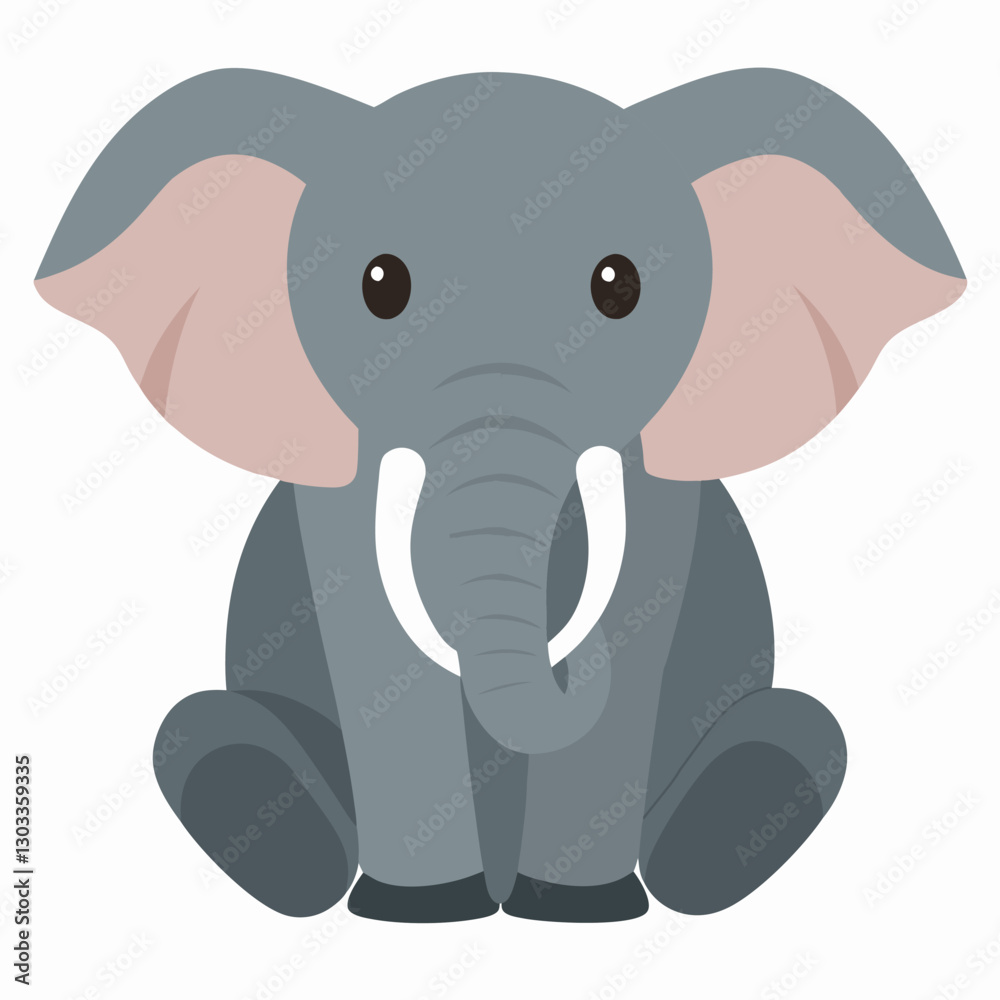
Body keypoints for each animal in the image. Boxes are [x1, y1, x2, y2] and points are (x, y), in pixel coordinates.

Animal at [35, 67, 965, 923]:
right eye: (380, 286)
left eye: (619, 286)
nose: (571, 662)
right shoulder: (337, 489)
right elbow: (381, 656)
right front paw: (422, 908)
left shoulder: (662, 488)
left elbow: (639, 634)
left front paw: (575, 908)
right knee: (193, 732)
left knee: (806, 736)